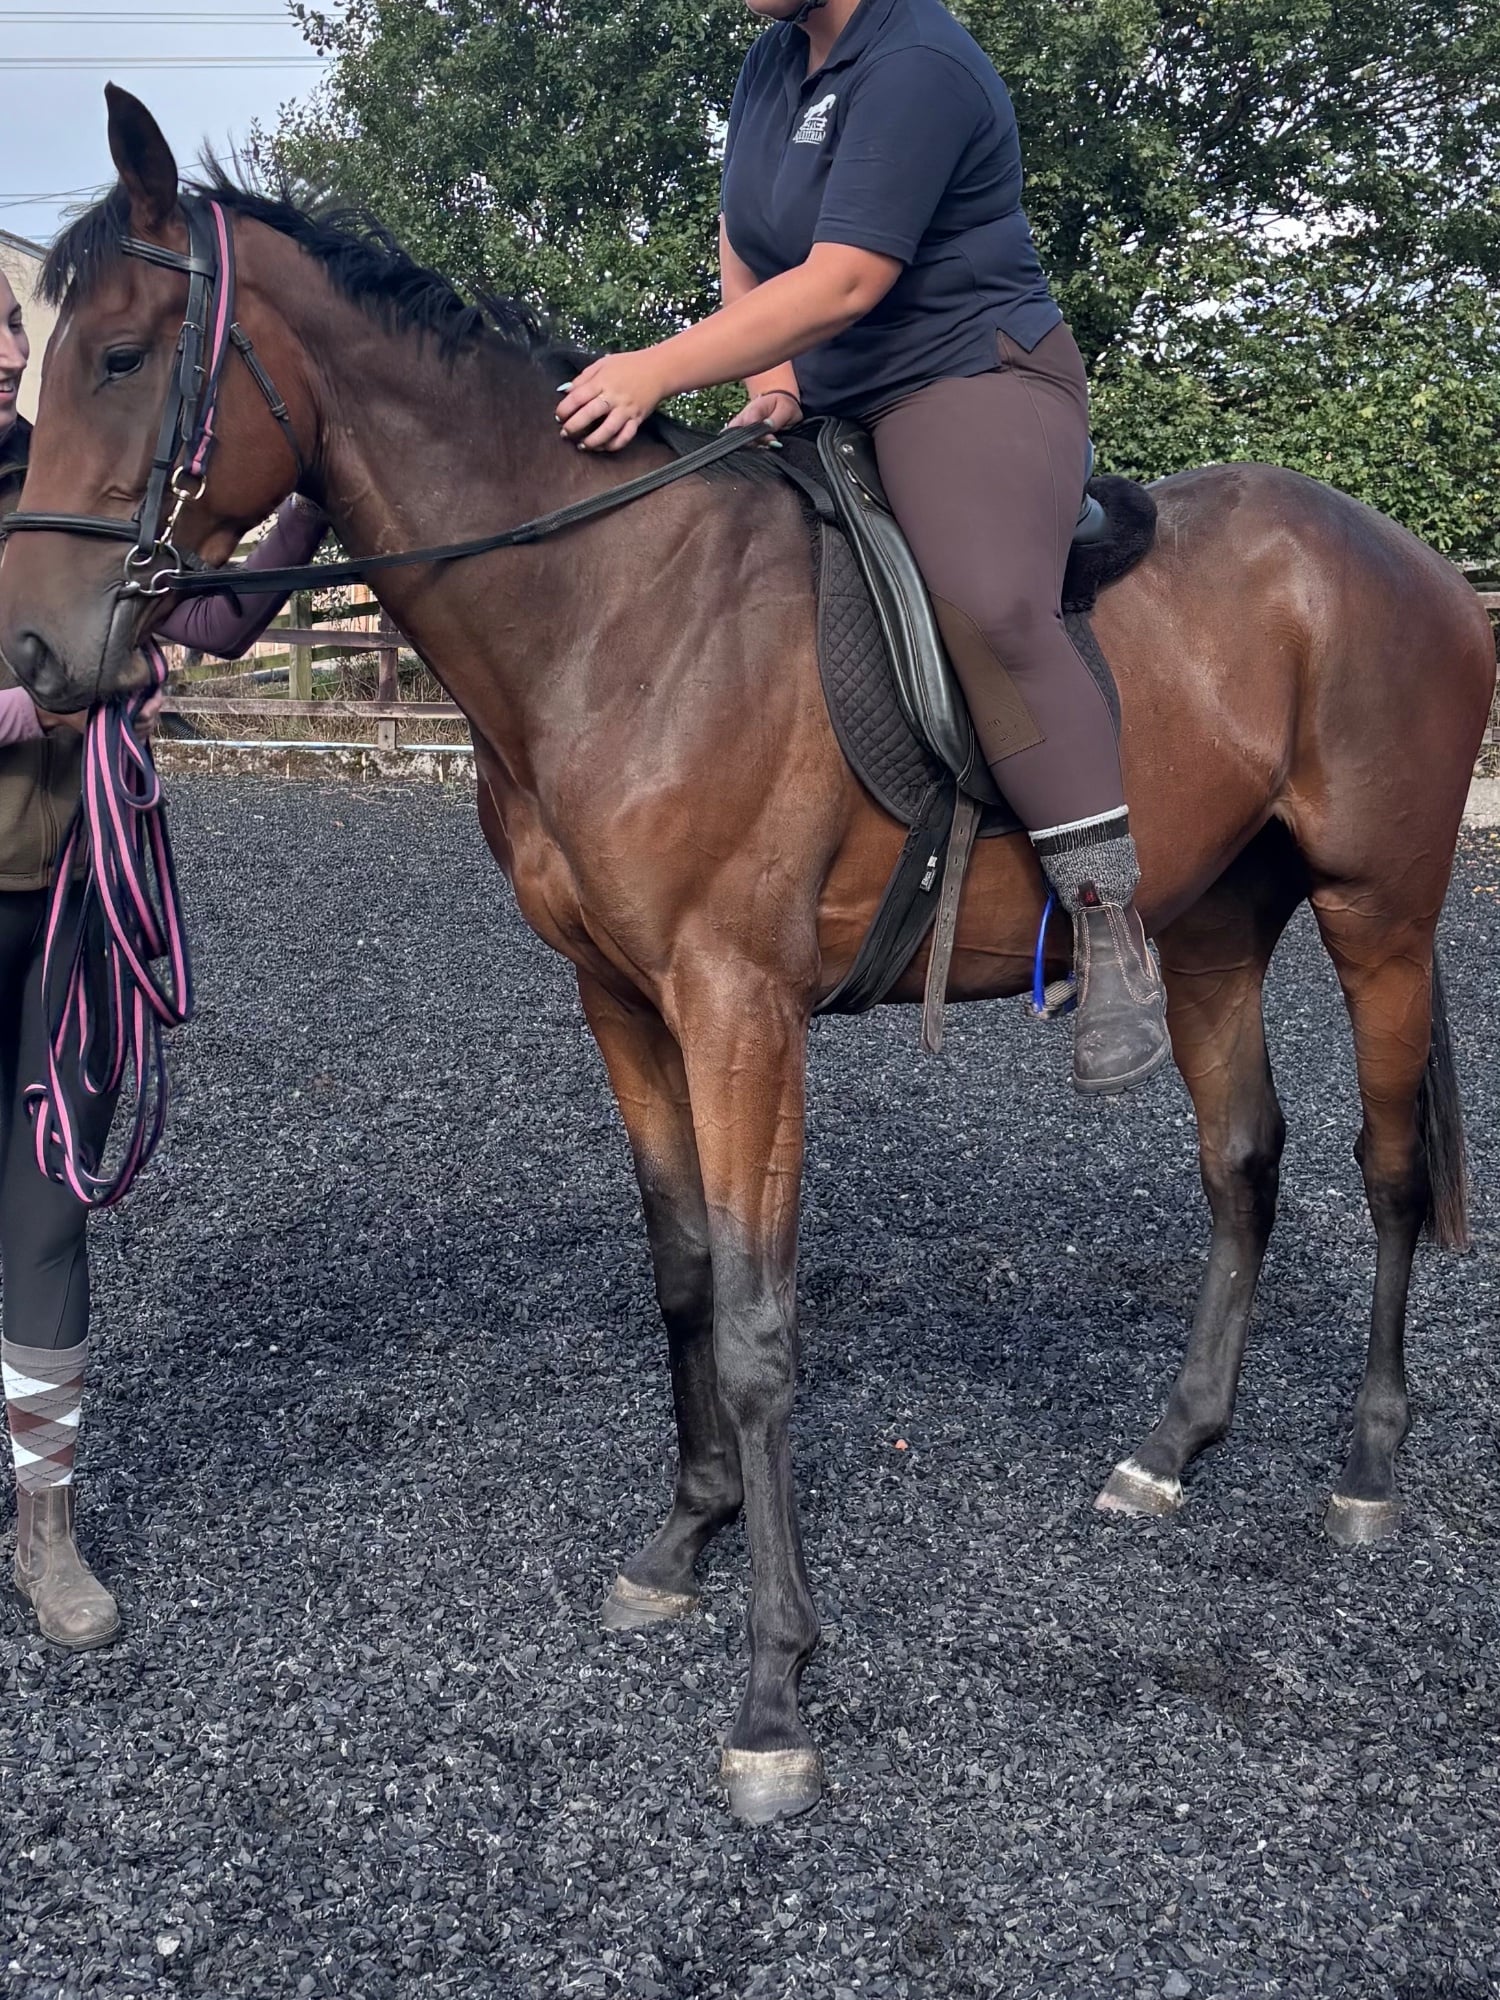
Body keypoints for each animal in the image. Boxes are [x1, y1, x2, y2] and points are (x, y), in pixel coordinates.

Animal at [0, 89, 1491, 1823]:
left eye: (120, 355)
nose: (35, 655)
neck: (610, 610)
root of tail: (1406, 557)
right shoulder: (623, 1002)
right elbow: (684, 1274)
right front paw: (683, 1538)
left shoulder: (741, 1010)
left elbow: (767, 1325)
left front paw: (775, 1687)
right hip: (1209, 928)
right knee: (1243, 1161)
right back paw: (1174, 1448)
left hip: (1378, 913)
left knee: (1389, 1171)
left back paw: (1368, 1467)